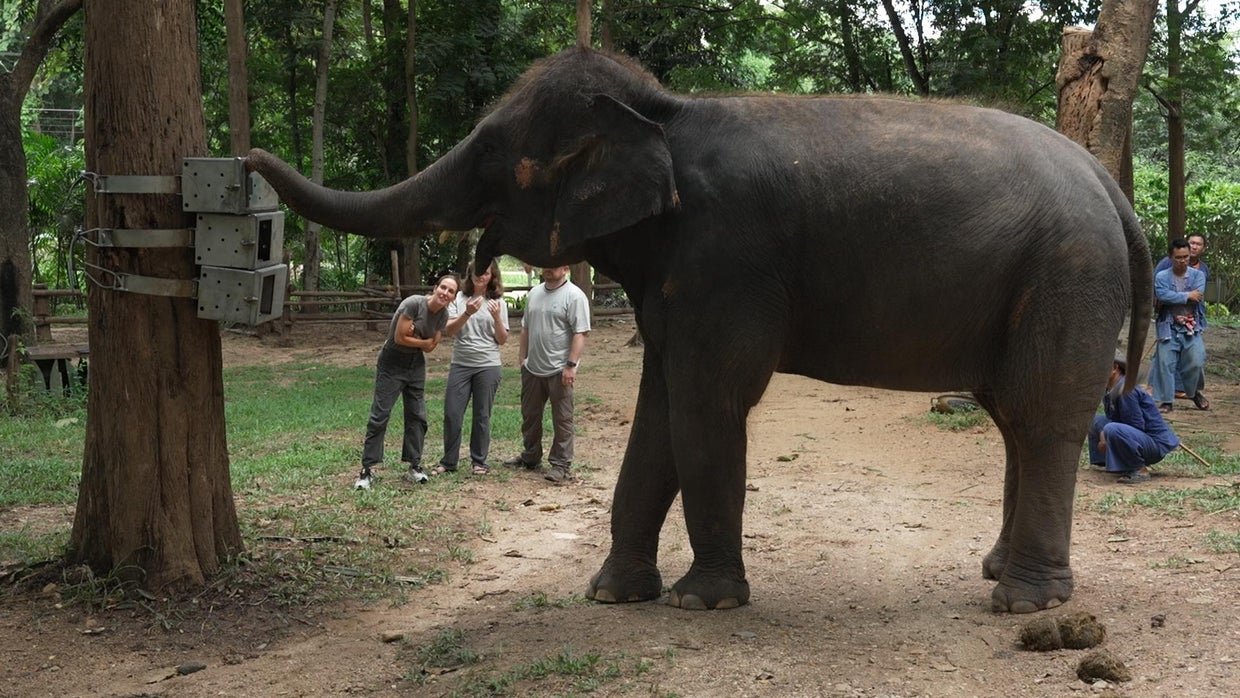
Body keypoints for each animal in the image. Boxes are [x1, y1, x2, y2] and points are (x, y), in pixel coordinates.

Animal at [247, 47, 1152, 614]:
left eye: (501, 153)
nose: (249, 156)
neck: (663, 114)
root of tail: (1108, 185)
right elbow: (660, 408)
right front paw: (613, 593)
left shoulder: (727, 258)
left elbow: (708, 401)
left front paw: (701, 601)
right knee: (1012, 419)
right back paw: (1001, 572)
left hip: (1068, 272)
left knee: (1041, 418)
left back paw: (1022, 601)